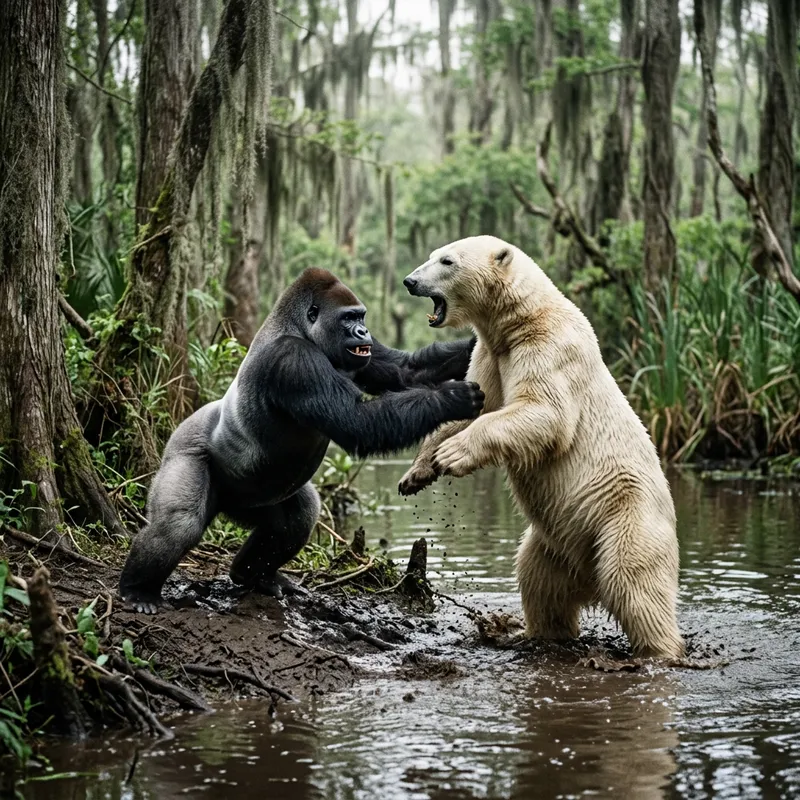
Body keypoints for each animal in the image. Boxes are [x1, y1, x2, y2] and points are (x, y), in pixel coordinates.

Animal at [398, 235, 684, 659]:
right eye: (433, 255)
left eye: (447, 261)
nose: (410, 281)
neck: (522, 318)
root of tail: (591, 581)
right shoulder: (492, 353)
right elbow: (476, 403)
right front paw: (417, 472)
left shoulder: (548, 348)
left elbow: (545, 412)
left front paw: (452, 454)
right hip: (555, 544)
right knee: (540, 581)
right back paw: (538, 633)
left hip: (624, 516)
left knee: (636, 585)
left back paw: (659, 650)